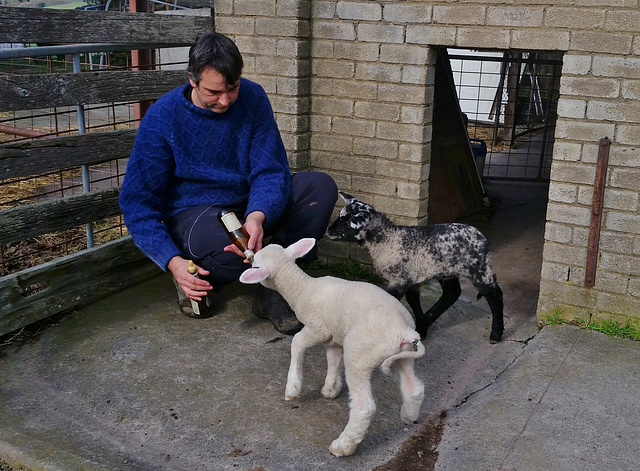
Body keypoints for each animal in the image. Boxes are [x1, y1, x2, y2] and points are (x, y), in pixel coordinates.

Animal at [239, 240, 424, 458]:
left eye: (256, 264)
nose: (249, 257)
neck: (302, 288)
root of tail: (402, 329)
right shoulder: (334, 336)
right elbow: (333, 358)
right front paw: (330, 389)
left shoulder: (318, 328)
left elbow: (297, 343)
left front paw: (292, 387)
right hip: (404, 354)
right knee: (414, 389)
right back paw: (408, 416)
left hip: (360, 356)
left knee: (364, 407)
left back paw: (342, 446)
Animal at [330, 192, 504, 342]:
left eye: (347, 221)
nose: (329, 231)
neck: (388, 239)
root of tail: (481, 236)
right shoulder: (410, 277)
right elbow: (413, 301)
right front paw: (421, 328)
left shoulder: (399, 280)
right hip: (447, 270)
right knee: (452, 293)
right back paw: (429, 318)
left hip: (479, 269)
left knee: (494, 294)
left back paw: (496, 333)